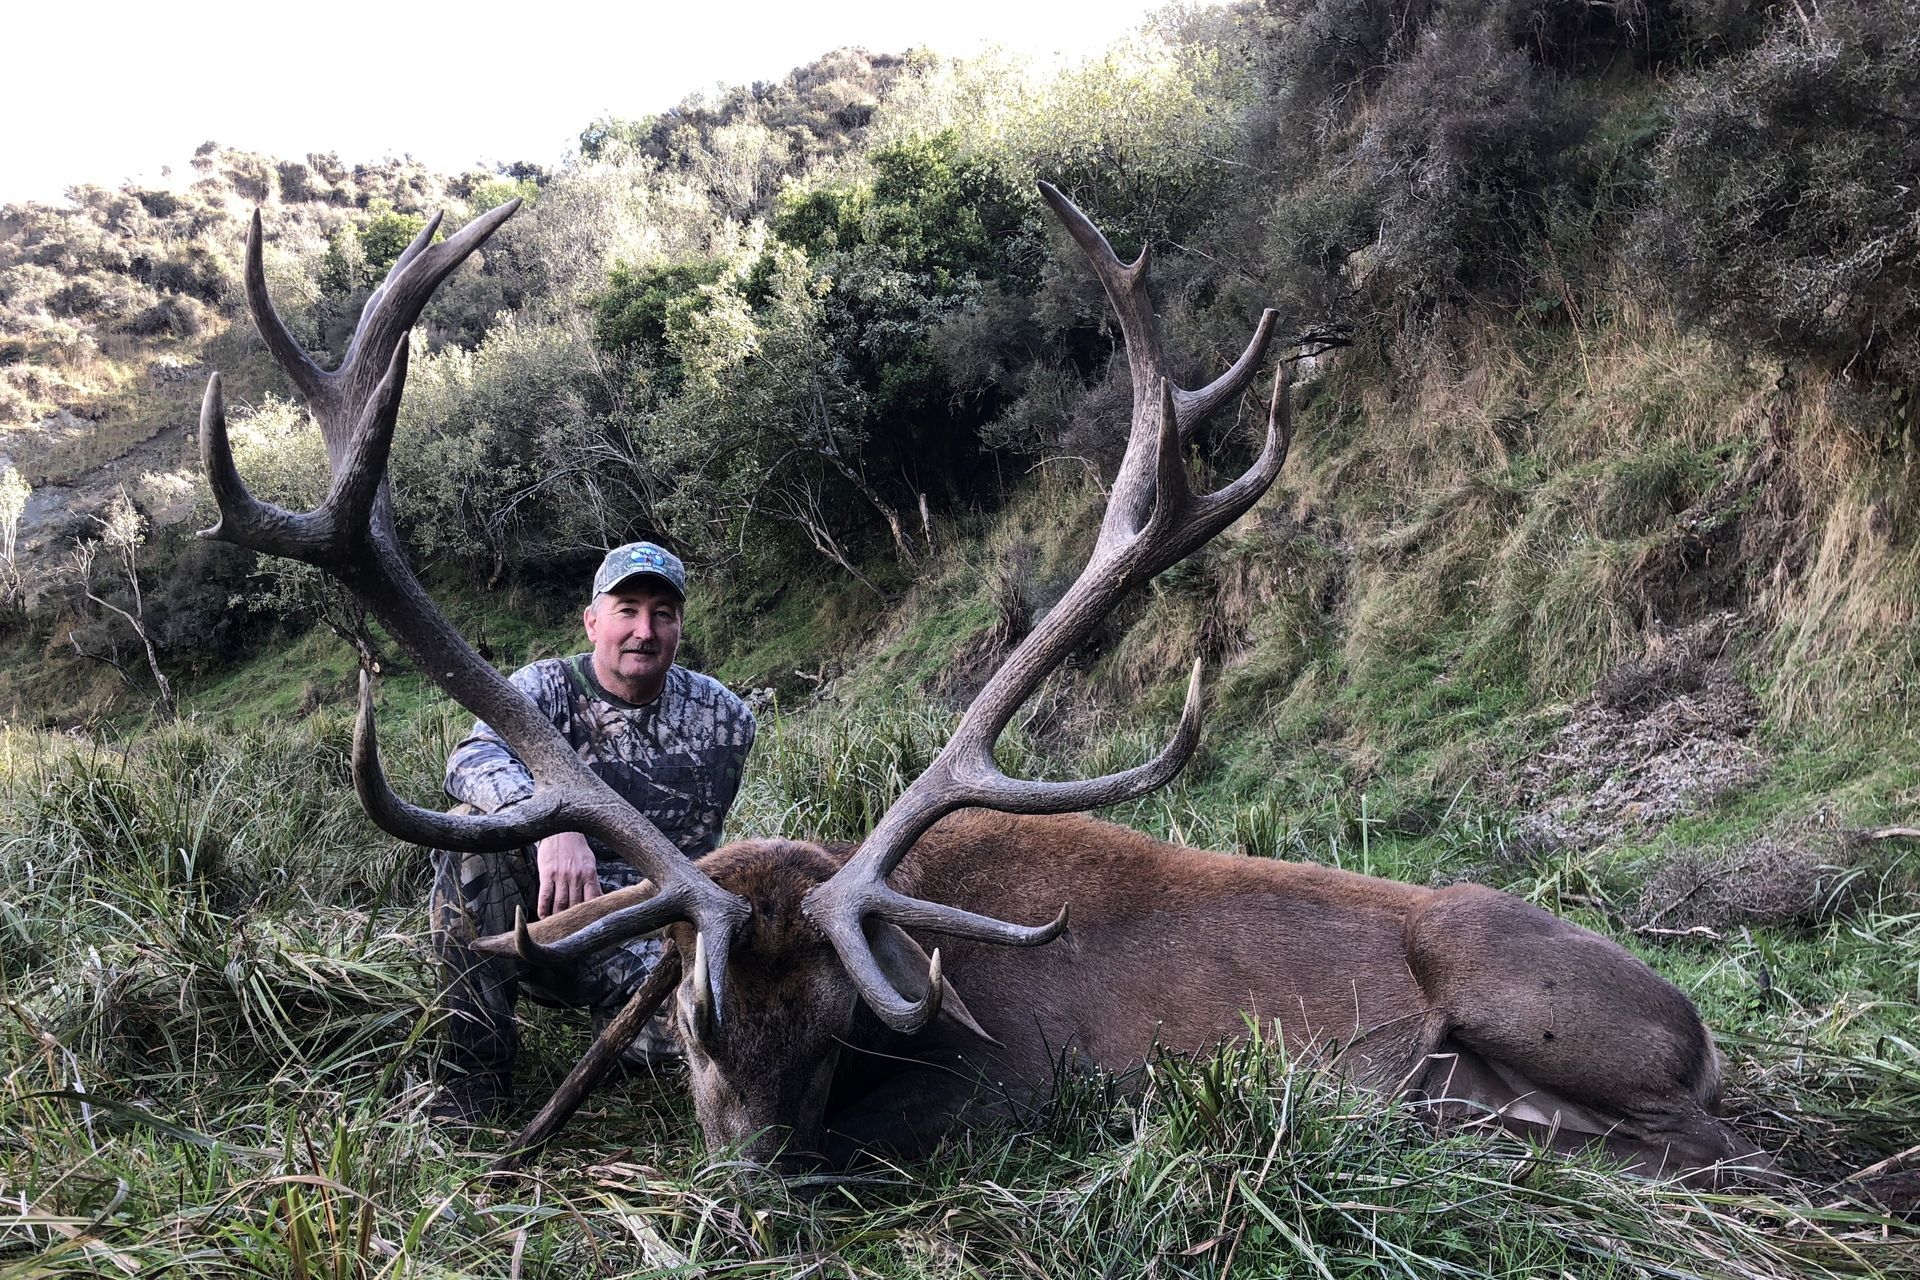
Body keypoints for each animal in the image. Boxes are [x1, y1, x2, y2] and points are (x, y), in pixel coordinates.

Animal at [197, 184, 1766, 1184]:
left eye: (845, 1030)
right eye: (698, 1025)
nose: (757, 1188)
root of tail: (1696, 1034)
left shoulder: (1005, 1089)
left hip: (1536, 994)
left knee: (1704, 1141)